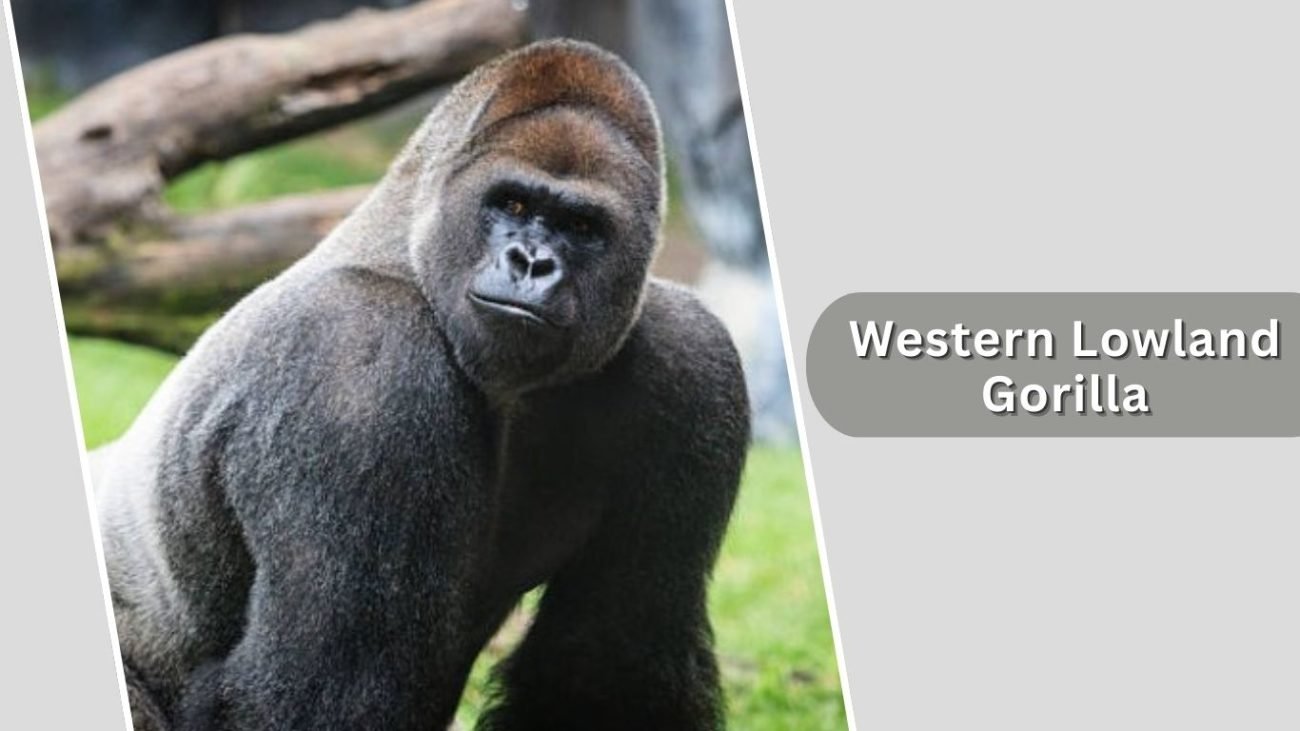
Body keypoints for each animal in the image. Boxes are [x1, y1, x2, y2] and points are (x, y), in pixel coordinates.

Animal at [89, 39, 750, 730]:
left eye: (583, 227)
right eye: (513, 204)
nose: (531, 263)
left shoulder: (691, 358)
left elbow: (611, 662)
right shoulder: (362, 356)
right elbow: (322, 689)